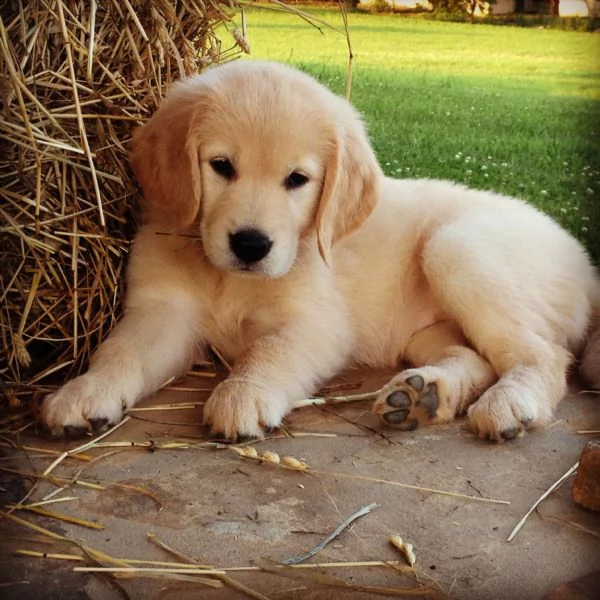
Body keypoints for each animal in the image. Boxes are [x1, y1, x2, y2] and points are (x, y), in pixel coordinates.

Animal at [42, 61, 600, 440]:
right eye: (221, 166)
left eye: (298, 179)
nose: (251, 244)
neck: (230, 279)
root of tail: (585, 261)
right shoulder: (162, 311)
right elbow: (121, 350)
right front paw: (86, 391)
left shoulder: (318, 323)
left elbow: (269, 350)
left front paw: (242, 395)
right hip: (427, 328)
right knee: (474, 356)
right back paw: (422, 395)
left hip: (456, 247)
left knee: (543, 353)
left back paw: (511, 403)